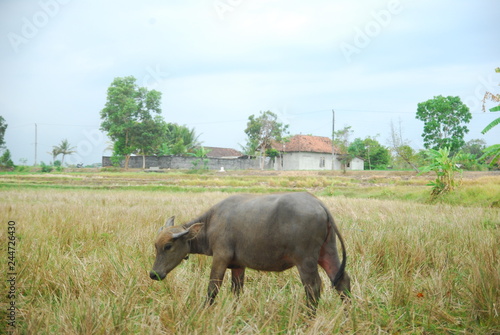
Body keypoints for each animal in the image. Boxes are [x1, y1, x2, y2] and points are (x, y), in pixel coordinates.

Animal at [150, 193, 350, 312]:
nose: (154, 274)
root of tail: (319, 204)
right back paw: (348, 312)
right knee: (342, 281)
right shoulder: (238, 265)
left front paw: (205, 311)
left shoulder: (220, 258)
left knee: (313, 287)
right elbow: (237, 290)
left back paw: (309, 316)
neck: (210, 223)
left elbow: (212, 288)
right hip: (328, 252)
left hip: (305, 260)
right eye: (155, 246)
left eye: (168, 246)